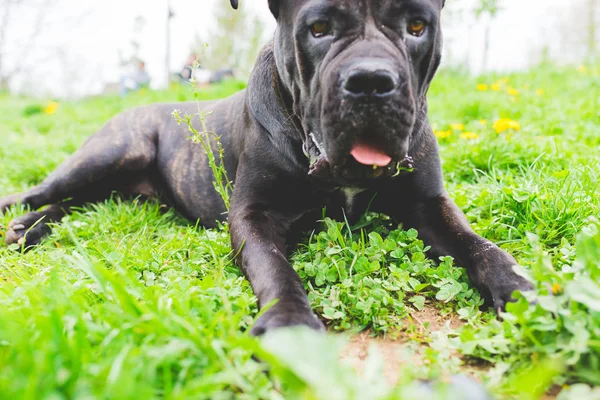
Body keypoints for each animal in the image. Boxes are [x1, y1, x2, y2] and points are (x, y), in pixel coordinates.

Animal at [2, 0, 532, 334]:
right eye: (319, 29)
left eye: (417, 26)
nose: (370, 82)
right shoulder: (253, 215)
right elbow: (273, 265)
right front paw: (289, 323)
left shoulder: (428, 203)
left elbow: (479, 245)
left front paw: (522, 287)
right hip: (111, 152)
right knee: (46, 191)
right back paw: (22, 220)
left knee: (80, 203)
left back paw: (30, 228)